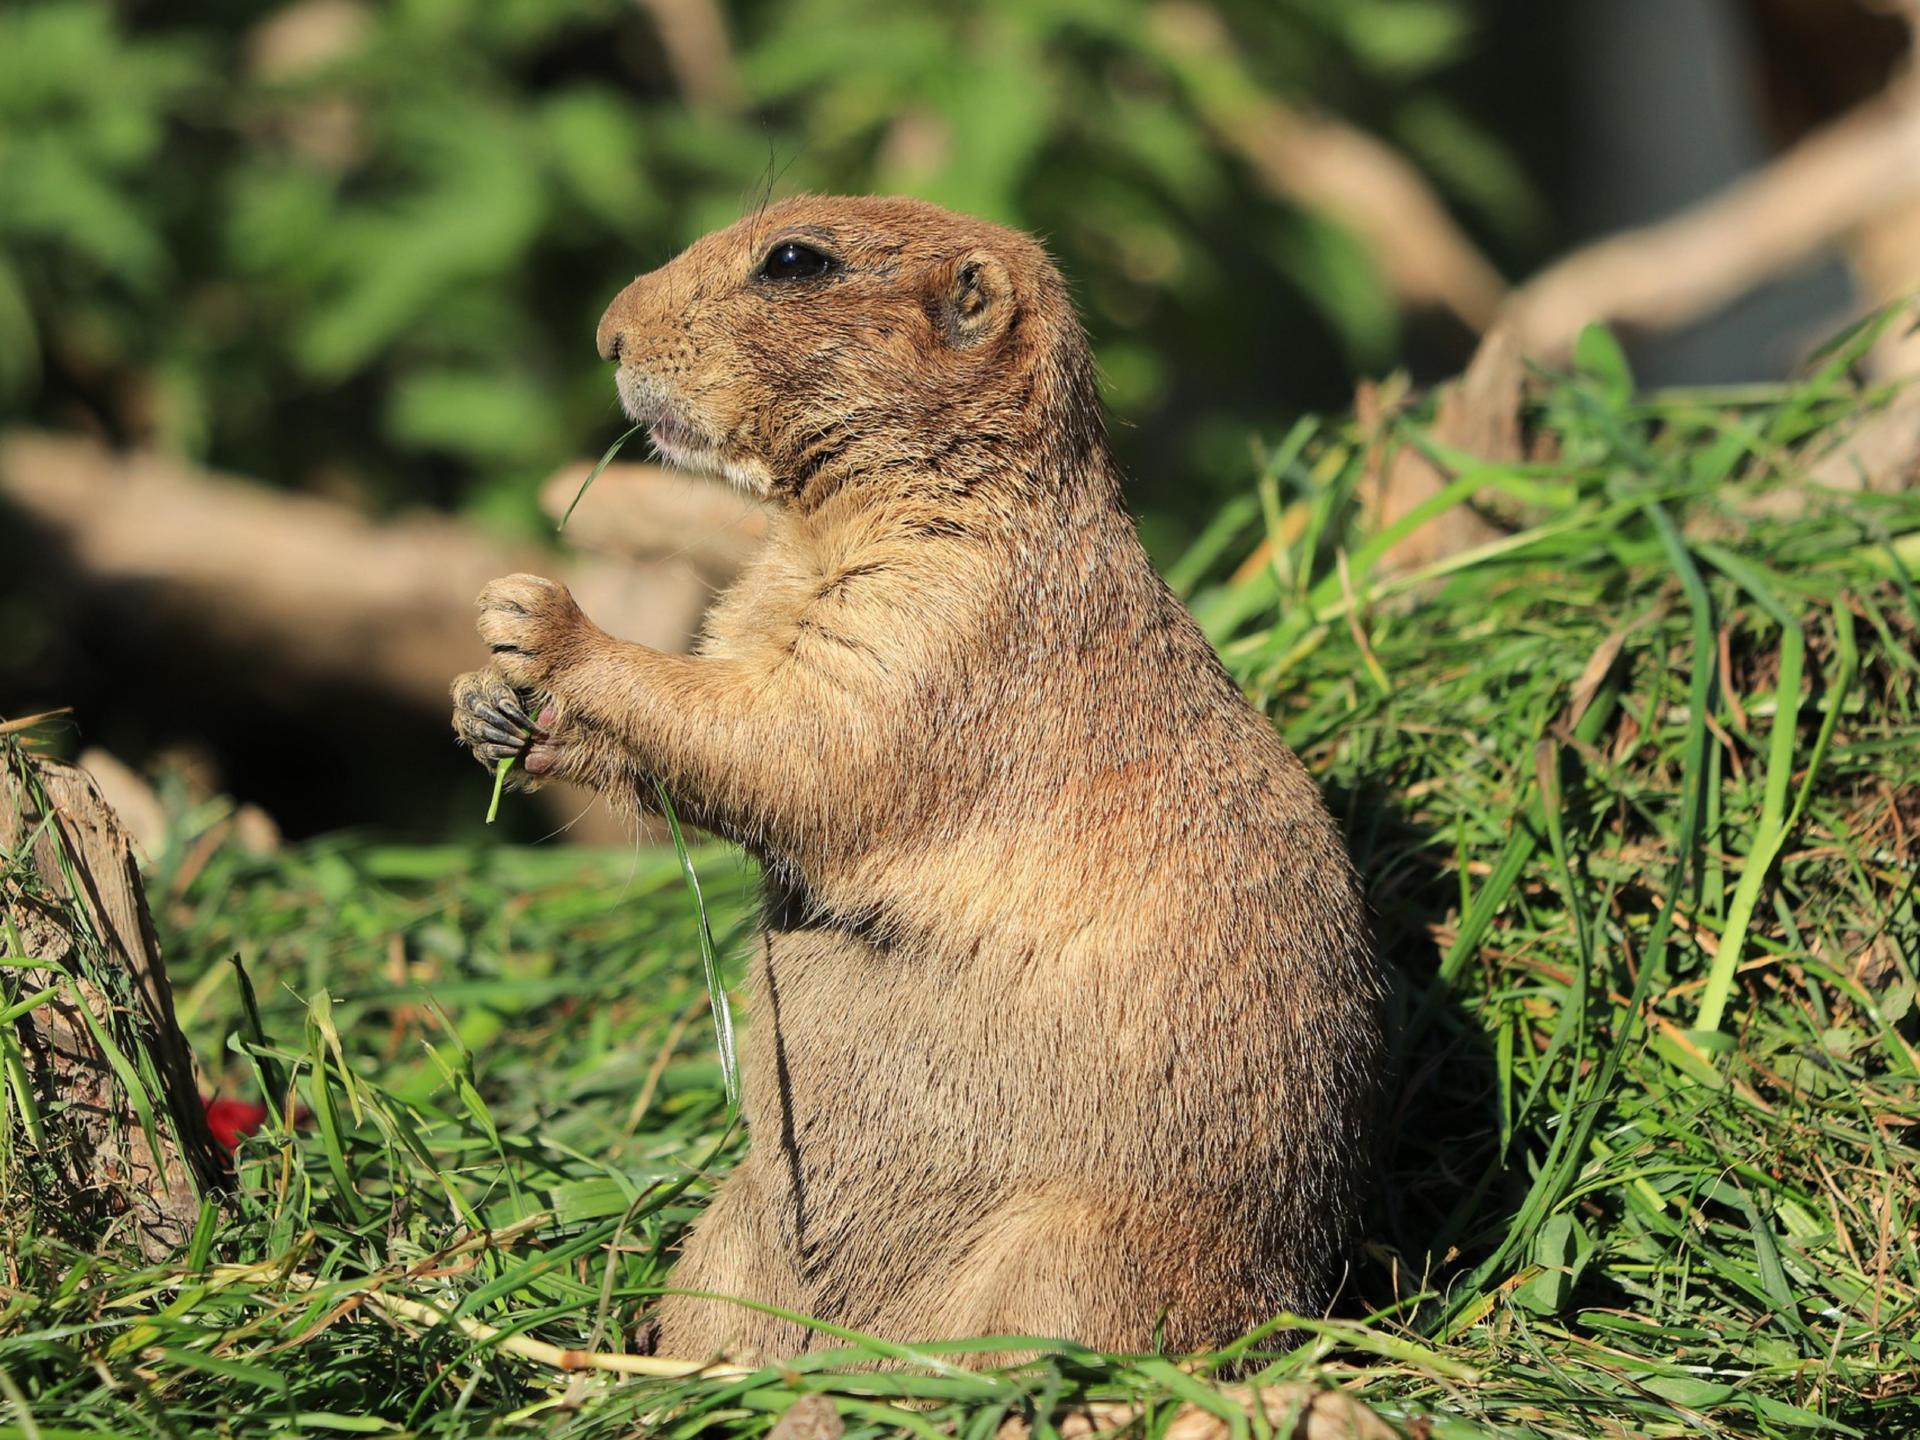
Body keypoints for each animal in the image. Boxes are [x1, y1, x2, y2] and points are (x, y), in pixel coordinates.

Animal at [452, 195, 1382, 1361]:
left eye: (794, 260)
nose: (607, 334)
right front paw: (486, 709)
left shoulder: (933, 626)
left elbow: (781, 736)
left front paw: (538, 617)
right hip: (734, 1225)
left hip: (1081, 1258)